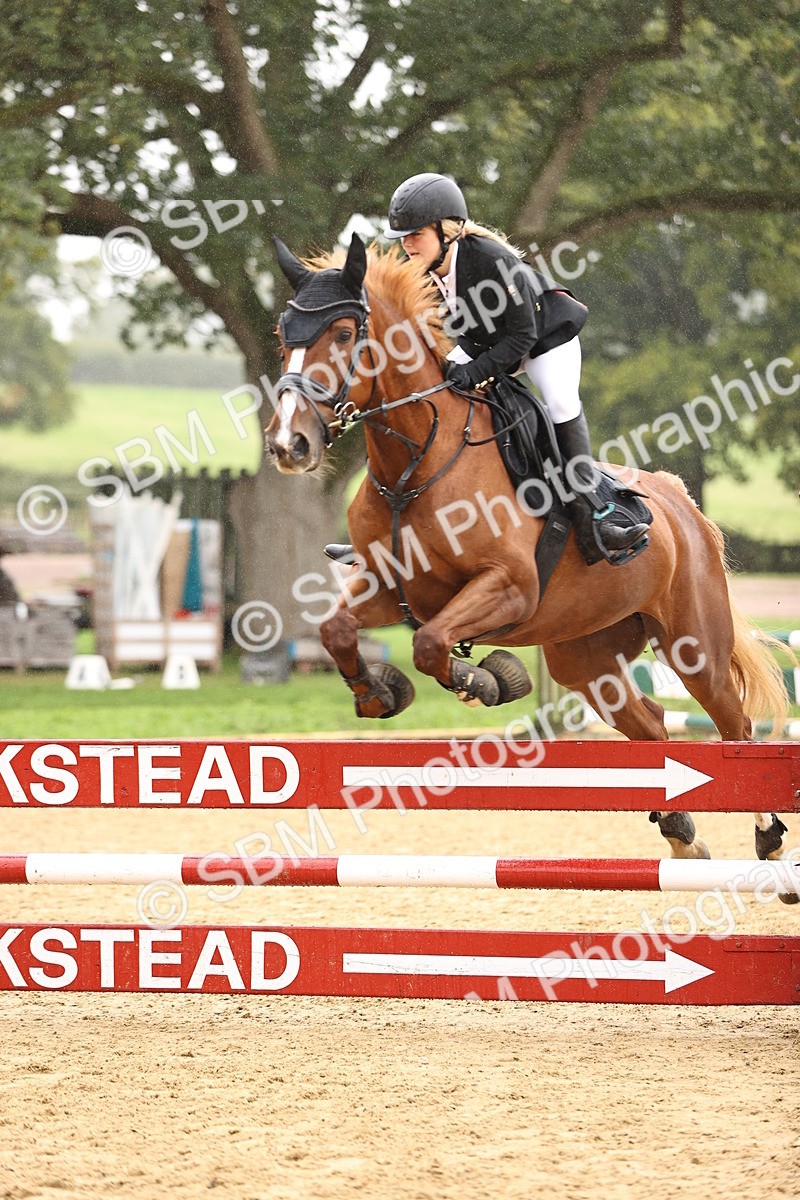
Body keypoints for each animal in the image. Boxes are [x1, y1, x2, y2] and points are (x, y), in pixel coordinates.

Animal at [264, 232, 794, 883]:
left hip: (693, 645)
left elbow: (432, 645)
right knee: (648, 723)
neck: (415, 466)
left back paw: (768, 839)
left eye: (342, 334)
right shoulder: (393, 589)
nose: (289, 444)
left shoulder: (508, 588)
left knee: (735, 724)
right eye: (284, 334)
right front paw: (379, 692)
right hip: (585, 657)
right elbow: (338, 630)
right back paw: (681, 835)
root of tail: (679, 503)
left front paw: (487, 680)